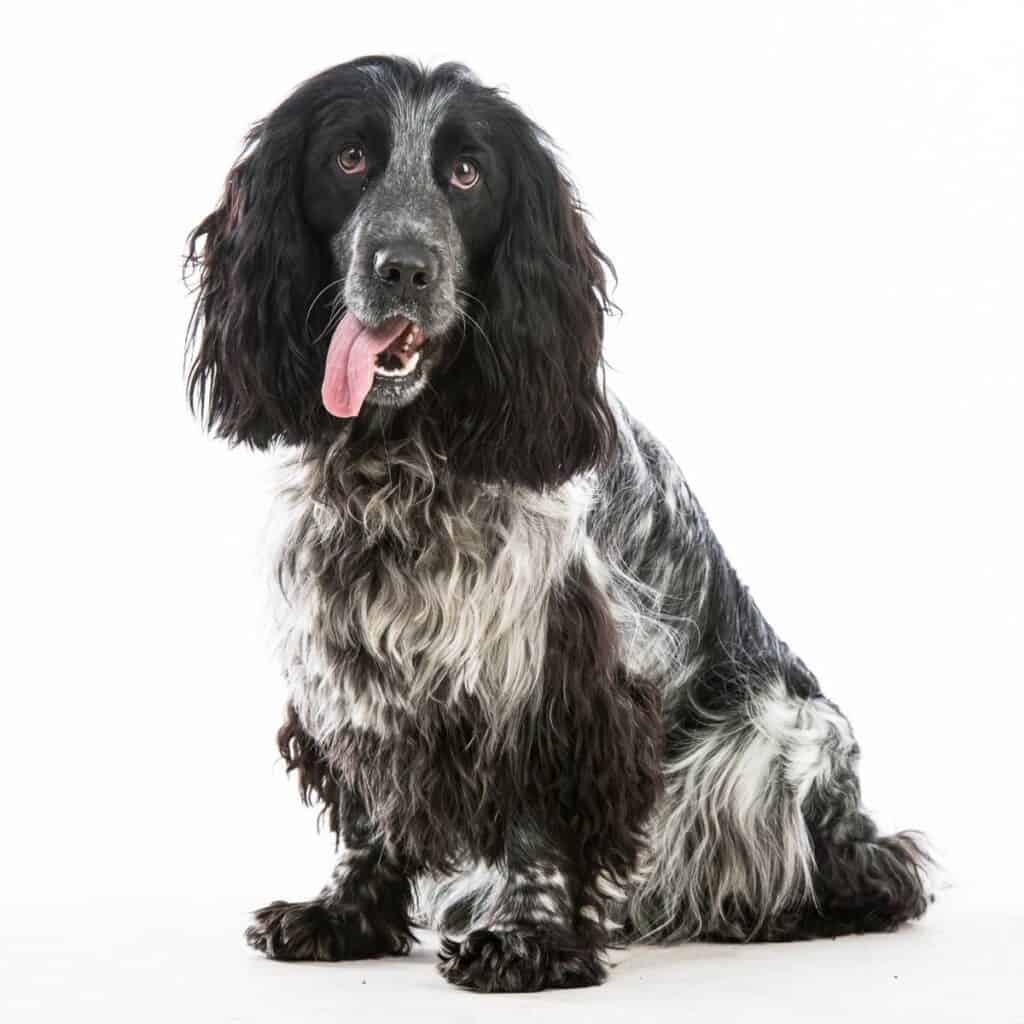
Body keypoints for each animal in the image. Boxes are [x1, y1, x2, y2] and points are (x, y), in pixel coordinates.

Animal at [182, 56, 929, 991]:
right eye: (349, 158)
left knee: (862, 869)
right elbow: (369, 810)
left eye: (468, 174)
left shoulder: (556, 662)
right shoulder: (347, 655)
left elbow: (537, 808)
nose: (404, 268)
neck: (407, 453)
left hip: (774, 745)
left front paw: (527, 937)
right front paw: (345, 915)